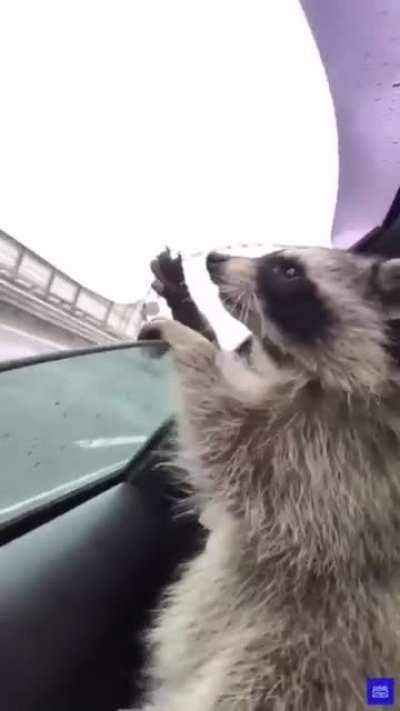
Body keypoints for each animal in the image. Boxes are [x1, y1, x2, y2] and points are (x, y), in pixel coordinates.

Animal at [133, 247, 400, 711]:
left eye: (288, 271)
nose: (215, 258)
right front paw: (190, 314)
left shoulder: (335, 455)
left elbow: (229, 437)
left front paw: (189, 342)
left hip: (291, 663)